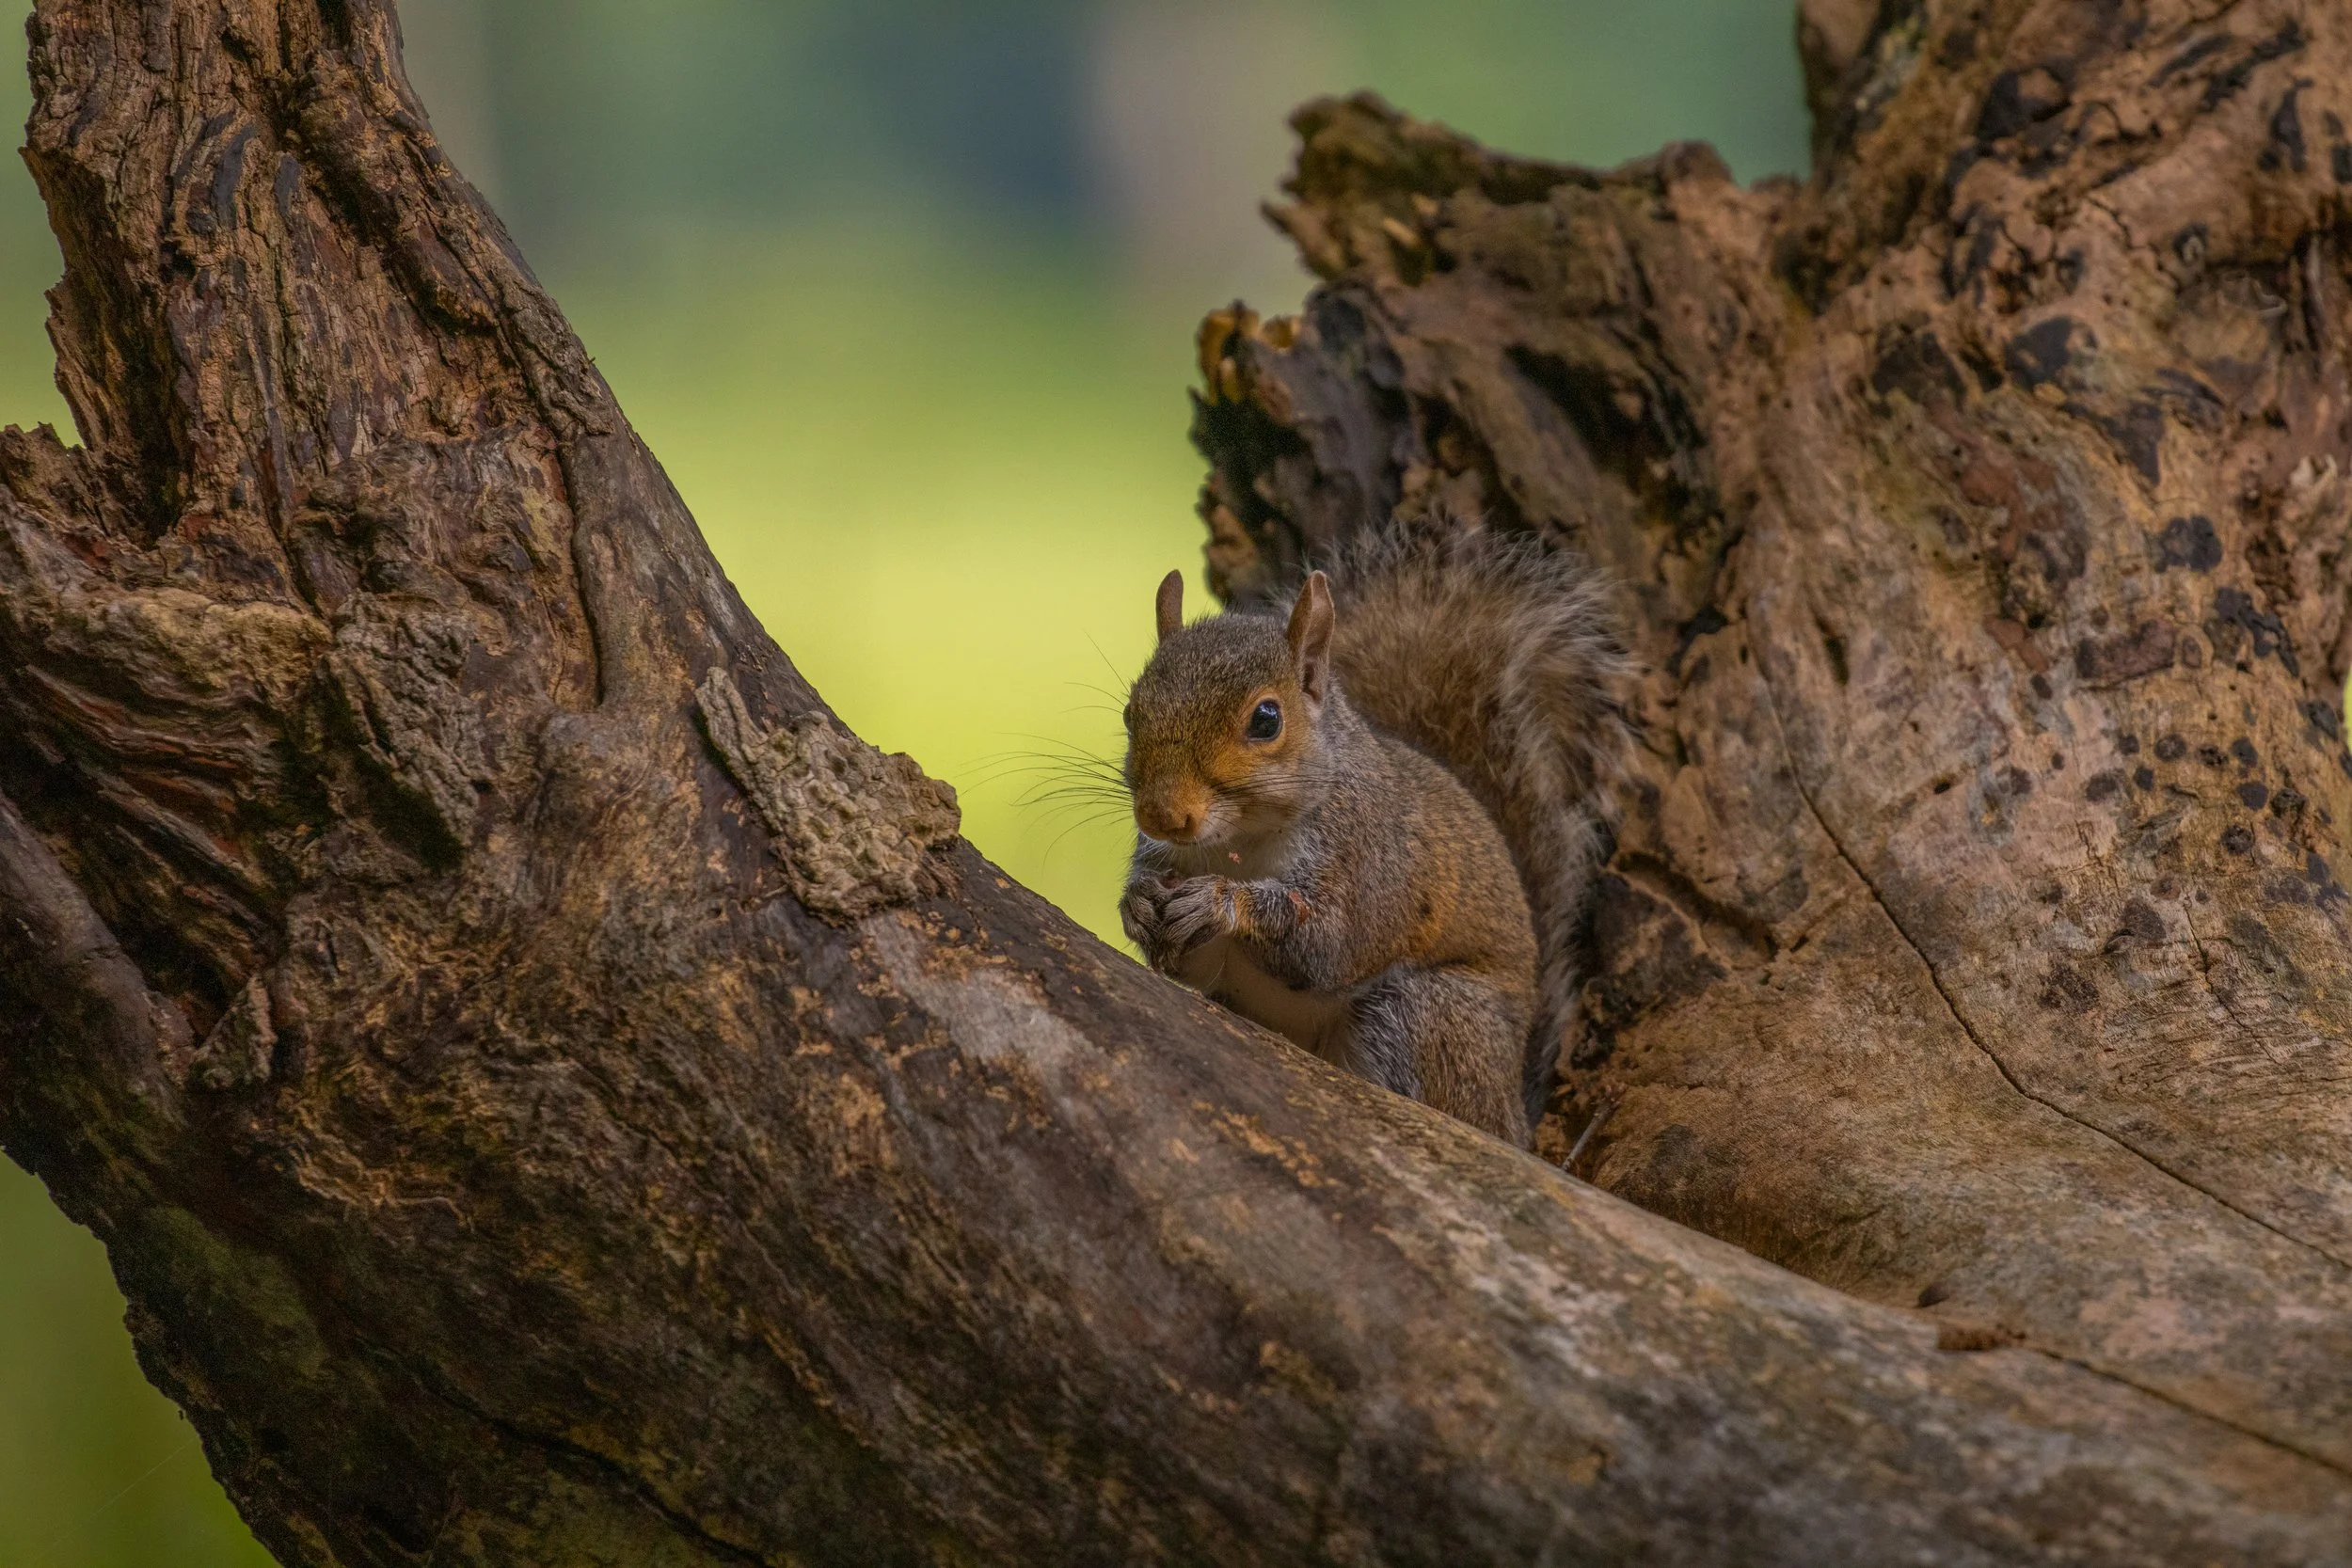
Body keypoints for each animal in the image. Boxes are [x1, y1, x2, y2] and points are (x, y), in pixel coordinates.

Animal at [1118, 519, 1630, 1147]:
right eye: (1130, 712)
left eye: (1266, 719)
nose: (1163, 817)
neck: (1238, 841)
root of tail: (1515, 1112)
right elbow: (1187, 960)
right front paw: (1139, 905)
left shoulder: (1373, 864)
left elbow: (1332, 942)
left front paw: (1221, 902)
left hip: (1427, 1017)